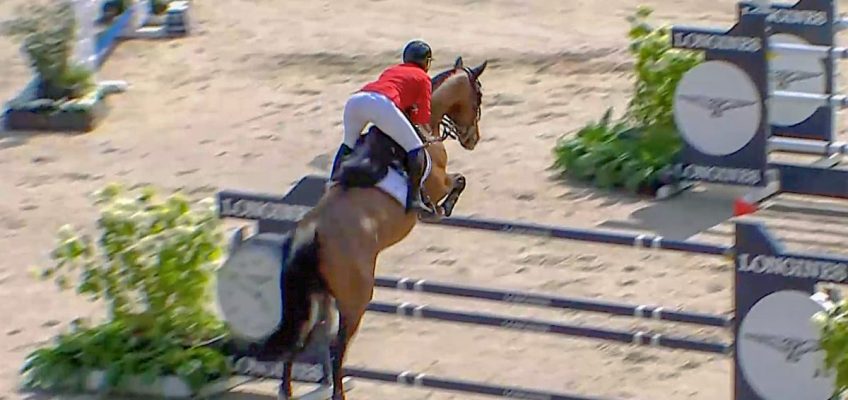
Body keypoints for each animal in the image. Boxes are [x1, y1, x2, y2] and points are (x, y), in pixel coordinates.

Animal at [264, 57, 490, 400]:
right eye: (478, 95)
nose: (472, 139)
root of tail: (311, 231)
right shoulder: (437, 180)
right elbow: (459, 181)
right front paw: (442, 208)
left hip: (317, 296)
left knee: (303, 335)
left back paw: (287, 390)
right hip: (356, 298)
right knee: (337, 346)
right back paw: (338, 393)